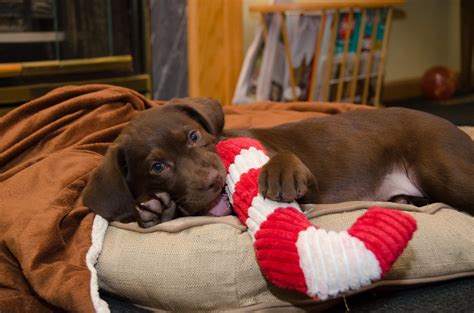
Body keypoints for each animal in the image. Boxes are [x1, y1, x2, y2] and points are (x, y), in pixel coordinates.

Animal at [83, 96, 472, 225]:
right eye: (157, 167)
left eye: (194, 137)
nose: (212, 182)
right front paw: (157, 209)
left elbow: (283, 157)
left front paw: (280, 174)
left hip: (445, 170)